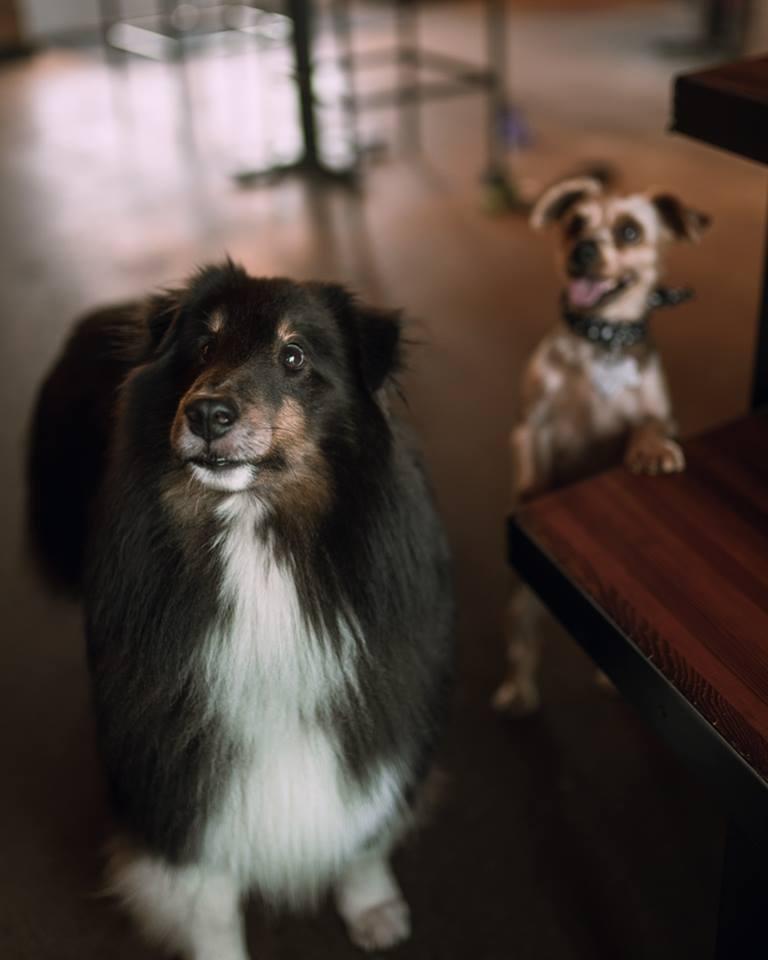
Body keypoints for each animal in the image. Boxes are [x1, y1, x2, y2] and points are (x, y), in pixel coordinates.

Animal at [28, 261, 454, 960]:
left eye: (294, 355)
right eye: (204, 346)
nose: (205, 413)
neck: (257, 534)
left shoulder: (373, 709)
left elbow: (363, 827)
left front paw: (372, 906)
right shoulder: (178, 761)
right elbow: (210, 902)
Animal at [493, 176, 710, 713]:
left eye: (630, 231)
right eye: (575, 223)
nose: (584, 250)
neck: (602, 340)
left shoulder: (662, 413)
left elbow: (649, 425)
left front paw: (650, 452)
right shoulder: (531, 424)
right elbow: (531, 463)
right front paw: (532, 493)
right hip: (520, 598)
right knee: (523, 637)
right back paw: (517, 690)